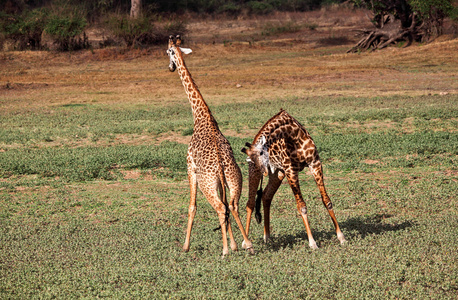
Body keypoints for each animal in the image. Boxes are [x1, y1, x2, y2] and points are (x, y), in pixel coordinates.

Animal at [167, 34, 256, 255]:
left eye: (167, 52)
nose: (170, 67)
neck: (201, 116)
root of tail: (222, 169)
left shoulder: (190, 167)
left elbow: (192, 207)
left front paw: (185, 246)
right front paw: (234, 244)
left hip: (207, 184)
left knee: (220, 207)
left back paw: (224, 250)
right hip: (234, 180)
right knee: (232, 205)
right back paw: (246, 244)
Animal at [242, 109, 346, 248]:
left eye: (261, 153)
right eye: (254, 159)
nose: (263, 171)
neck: (294, 135)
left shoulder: (315, 163)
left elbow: (327, 201)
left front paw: (341, 237)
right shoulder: (291, 171)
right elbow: (302, 206)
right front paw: (312, 242)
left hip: (277, 174)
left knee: (266, 195)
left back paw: (267, 237)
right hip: (256, 174)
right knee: (250, 203)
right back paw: (246, 242)